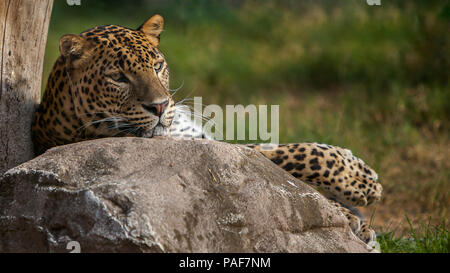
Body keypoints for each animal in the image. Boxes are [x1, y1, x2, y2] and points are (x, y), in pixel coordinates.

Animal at [32, 14, 384, 244]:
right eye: (118, 77)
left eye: (157, 66)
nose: (160, 106)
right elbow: (291, 155)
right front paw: (362, 182)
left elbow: (277, 151)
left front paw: (355, 207)